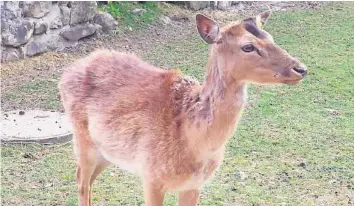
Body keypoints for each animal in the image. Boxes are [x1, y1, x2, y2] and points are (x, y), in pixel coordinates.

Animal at [58, 11, 306, 206]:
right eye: (248, 46)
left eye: (271, 38)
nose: (300, 68)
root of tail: (66, 72)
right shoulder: (151, 177)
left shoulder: (194, 184)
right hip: (82, 139)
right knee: (81, 180)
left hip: (108, 152)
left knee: (88, 180)